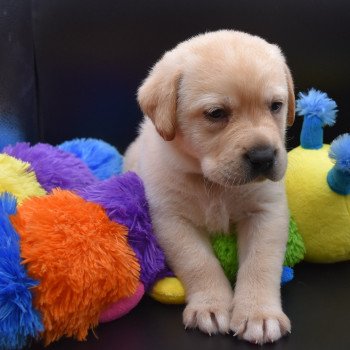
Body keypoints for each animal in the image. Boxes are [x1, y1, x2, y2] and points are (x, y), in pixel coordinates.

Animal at [124, 30, 294, 344]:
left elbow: (261, 264)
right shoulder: (170, 218)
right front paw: (211, 306)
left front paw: (259, 314)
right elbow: (198, 262)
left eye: (276, 106)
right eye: (216, 113)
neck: (213, 183)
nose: (264, 157)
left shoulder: (267, 212)